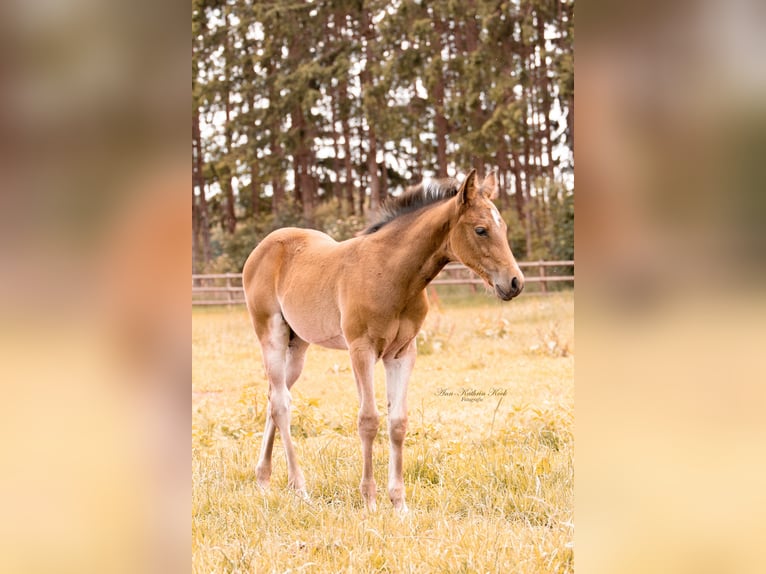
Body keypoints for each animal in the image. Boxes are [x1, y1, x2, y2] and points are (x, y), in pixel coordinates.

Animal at [242, 169, 524, 512]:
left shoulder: (402, 353)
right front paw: (370, 500)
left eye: (503, 228)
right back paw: (299, 487)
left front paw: (399, 504)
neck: (391, 272)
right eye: (481, 230)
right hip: (271, 334)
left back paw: (263, 478)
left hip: (298, 344)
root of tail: (263, 247)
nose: (515, 282)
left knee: (275, 396)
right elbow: (369, 419)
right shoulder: (361, 349)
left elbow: (397, 422)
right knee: (282, 404)